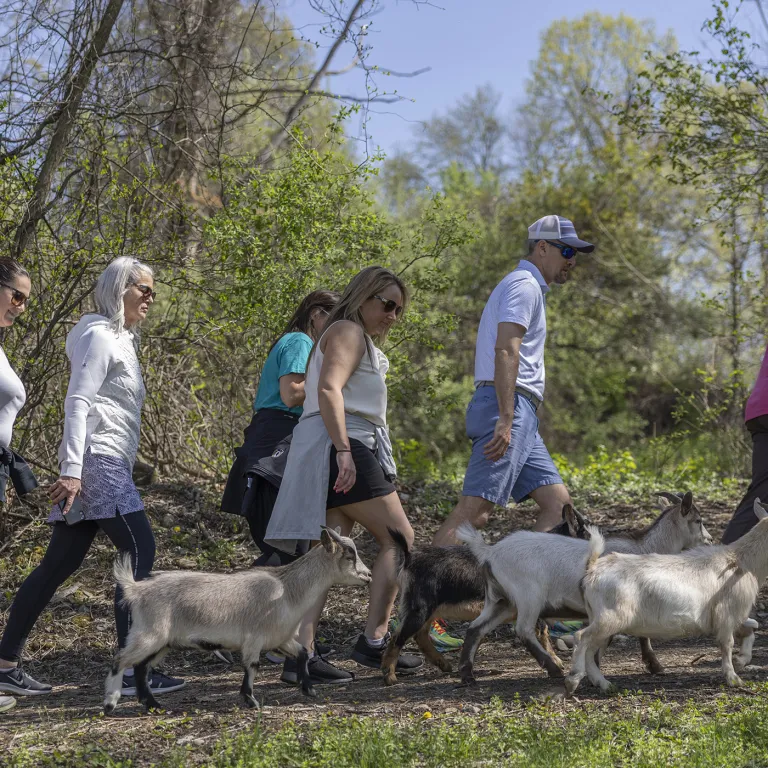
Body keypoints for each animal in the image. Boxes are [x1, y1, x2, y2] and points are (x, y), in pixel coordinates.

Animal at [103, 528, 372, 712]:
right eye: (349, 555)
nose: (368, 575)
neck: (288, 590)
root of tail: (136, 589)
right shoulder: (254, 639)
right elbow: (253, 666)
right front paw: (250, 700)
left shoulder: (280, 639)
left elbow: (303, 653)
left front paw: (309, 689)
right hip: (149, 634)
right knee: (120, 659)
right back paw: (110, 702)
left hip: (163, 642)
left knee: (141, 667)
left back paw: (153, 705)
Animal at [564, 498, 768, 696]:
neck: (740, 561)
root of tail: (592, 569)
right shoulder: (726, 614)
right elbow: (727, 644)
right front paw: (733, 678)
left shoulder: (730, 616)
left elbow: (749, 631)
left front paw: (741, 661)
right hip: (610, 617)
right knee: (581, 637)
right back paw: (573, 681)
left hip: (600, 618)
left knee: (591, 649)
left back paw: (604, 684)